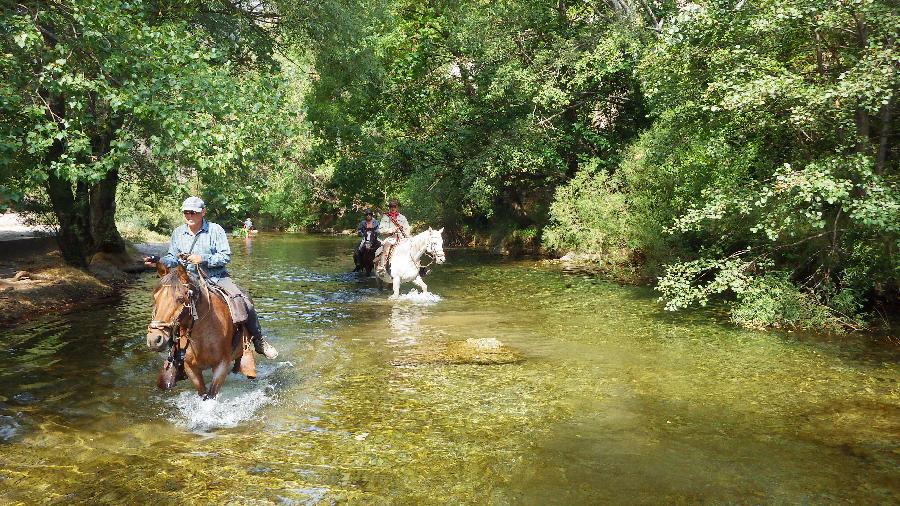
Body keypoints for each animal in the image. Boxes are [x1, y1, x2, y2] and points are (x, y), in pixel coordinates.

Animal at [145, 260, 253, 400]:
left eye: (180, 298)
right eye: (155, 298)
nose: (154, 339)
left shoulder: (222, 364)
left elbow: (211, 394)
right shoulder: (191, 368)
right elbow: (202, 392)